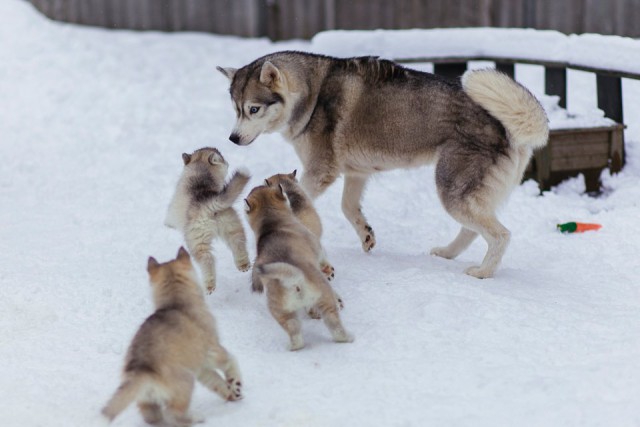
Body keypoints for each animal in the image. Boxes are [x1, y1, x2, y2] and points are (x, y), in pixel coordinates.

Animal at [102, 247, 242, 427]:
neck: (175, 302)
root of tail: (143, 370)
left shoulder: (200, 368)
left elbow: (216, 382)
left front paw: (231, 394)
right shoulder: (213, 351)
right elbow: (231, 363)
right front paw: (236, 385)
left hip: (147, 401)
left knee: (153, 417)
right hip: (185, 383)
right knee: (174, 414)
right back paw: (196, 418)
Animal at [166, 148, 251, 294]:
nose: (227, 162)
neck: (200, 167)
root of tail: (208, 204)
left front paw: (167, 225)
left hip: (196, 242)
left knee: (207, 260)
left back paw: (208, 285)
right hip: (231, 225)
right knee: (238, 243)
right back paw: (243, 264)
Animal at [218, 51, 548, 280]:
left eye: (253, 109)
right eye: (235, 110)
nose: (233, 138)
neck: (312, 93)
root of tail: (508, 126)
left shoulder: (321, 171)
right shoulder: (356, 173)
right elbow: (348, 208)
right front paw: (366, 236)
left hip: (452, 189)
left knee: (500, 234)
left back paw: (483, 272)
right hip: (462, 193)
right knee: (473, 229)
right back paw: (447, 253)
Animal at [245, 185, 356, 352]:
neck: (271, 223)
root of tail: (293, 281)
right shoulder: (318, 248)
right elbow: (323, 259)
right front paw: (328, 269)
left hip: (282, 312)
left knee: (295, 333)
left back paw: (293, 347)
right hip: (324, 297)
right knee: (334, 325)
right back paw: (348, 337)